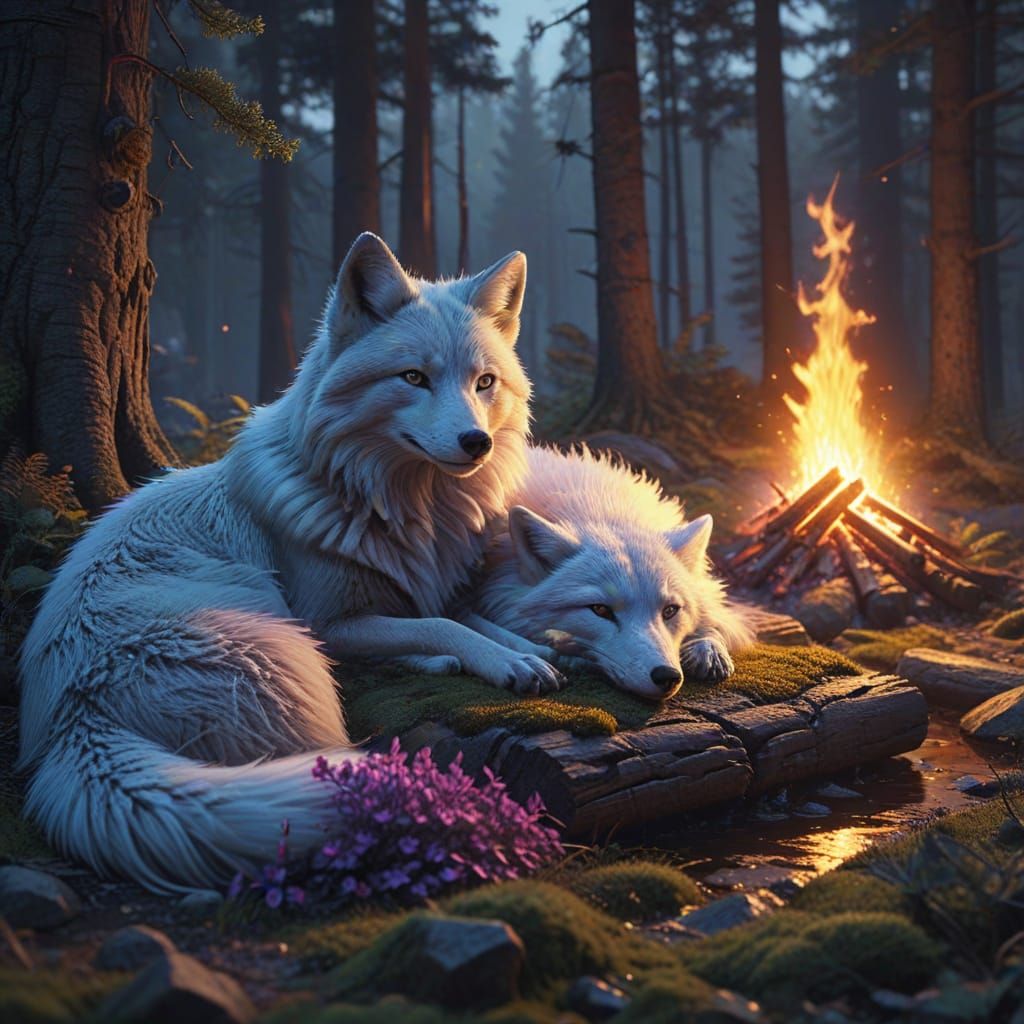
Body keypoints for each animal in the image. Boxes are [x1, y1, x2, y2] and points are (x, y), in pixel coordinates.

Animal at [17, 234, 563, 893]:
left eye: (484, 383)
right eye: (414, 377)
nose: (475, 442)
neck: (404, 509)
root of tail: (71, 720)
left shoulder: (426, 588)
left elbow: (464, 616)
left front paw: (526, 649)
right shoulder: (328, 621)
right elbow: (442, 623)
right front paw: (501, 661)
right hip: (287, 646)